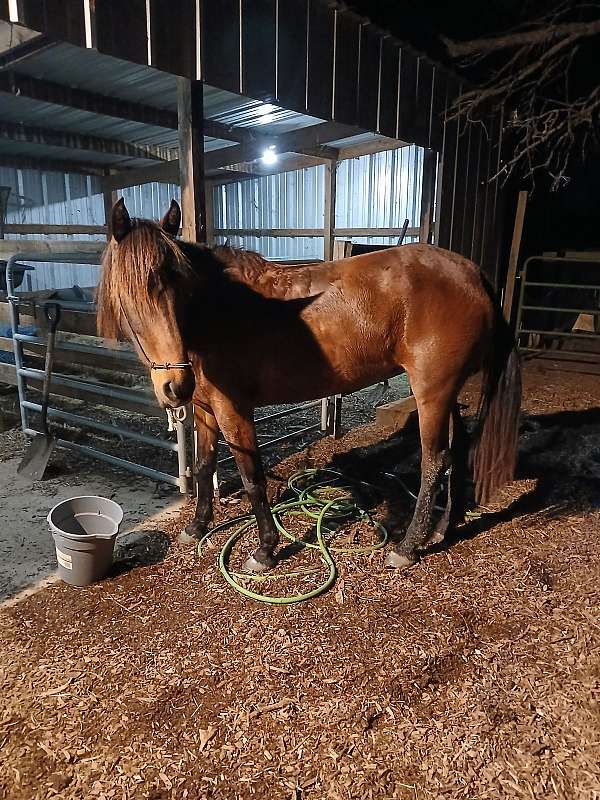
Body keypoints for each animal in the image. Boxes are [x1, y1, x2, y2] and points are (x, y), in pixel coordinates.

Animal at [97, 198, 521, 573]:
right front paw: (197, 527)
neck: (217, 313)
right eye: (130, 296)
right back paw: (441, 529)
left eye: (177, 290)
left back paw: (406, 547)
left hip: (431, 392)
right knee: (458, 450)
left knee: (434, 461)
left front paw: (265, 551)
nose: (175, 384)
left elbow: (252, 478)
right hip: (445, 392)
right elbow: (204, 467)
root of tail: (471, 272)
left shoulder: (234, 411)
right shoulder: (204, 410)